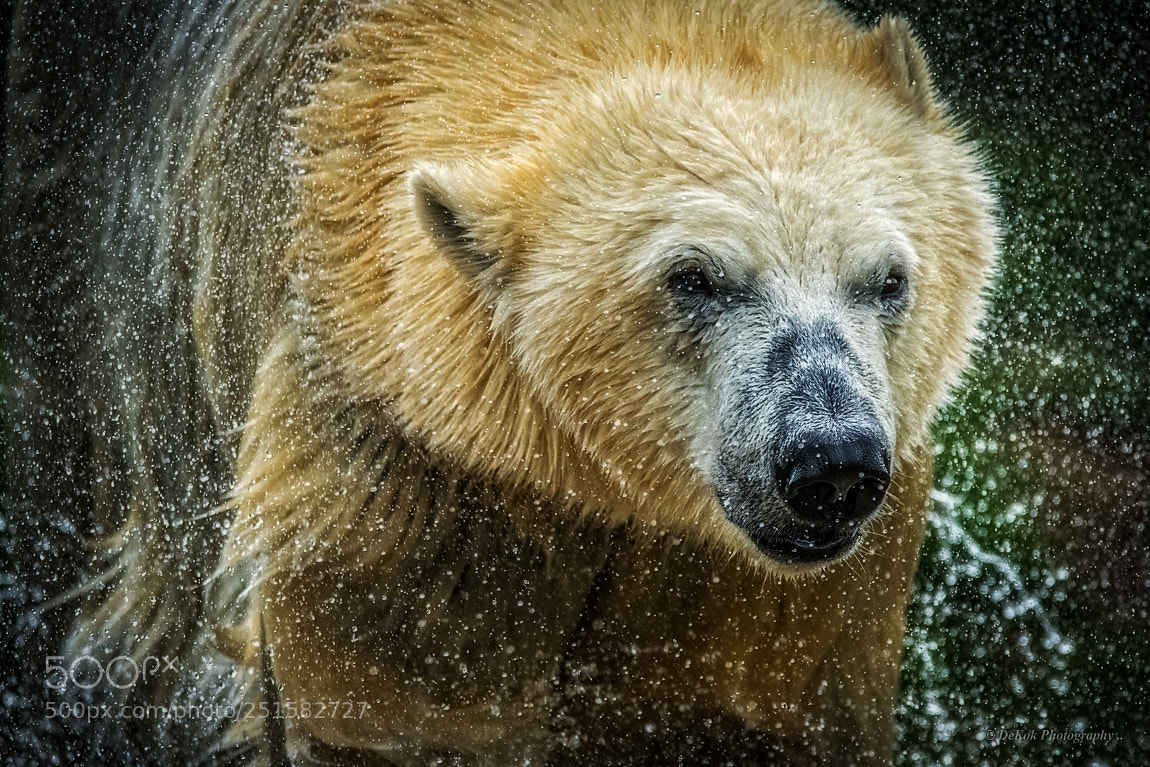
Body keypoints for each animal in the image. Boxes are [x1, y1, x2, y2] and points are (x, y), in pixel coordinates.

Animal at [1, 0, 996, 765]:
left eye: (889, 279)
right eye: (694, 278)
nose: (828, 460)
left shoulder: (791, 568)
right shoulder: (402, 482)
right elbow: (394, 713)